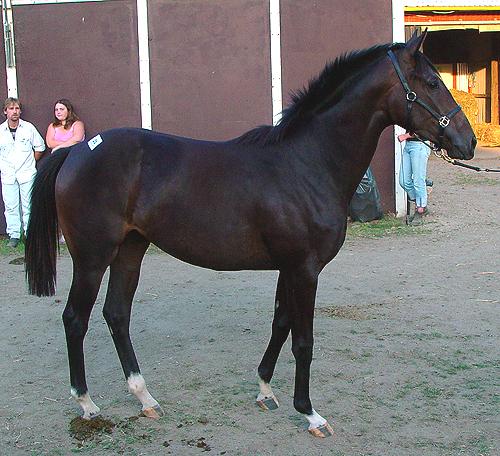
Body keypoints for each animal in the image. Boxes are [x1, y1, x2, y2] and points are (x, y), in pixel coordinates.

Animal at [25, 31, 475, 437]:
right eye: (431, 83)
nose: (468, 141)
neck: (306, 162)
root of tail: (77, 151)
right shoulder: (305, 269)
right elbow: (303, 340)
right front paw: (309, 413)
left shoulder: (289, 268)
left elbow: (280, 324)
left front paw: (264, 390)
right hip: (92, 257)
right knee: (75, 318)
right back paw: (86, 403)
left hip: (131, 250)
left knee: (117, 314)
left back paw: (145, 397)